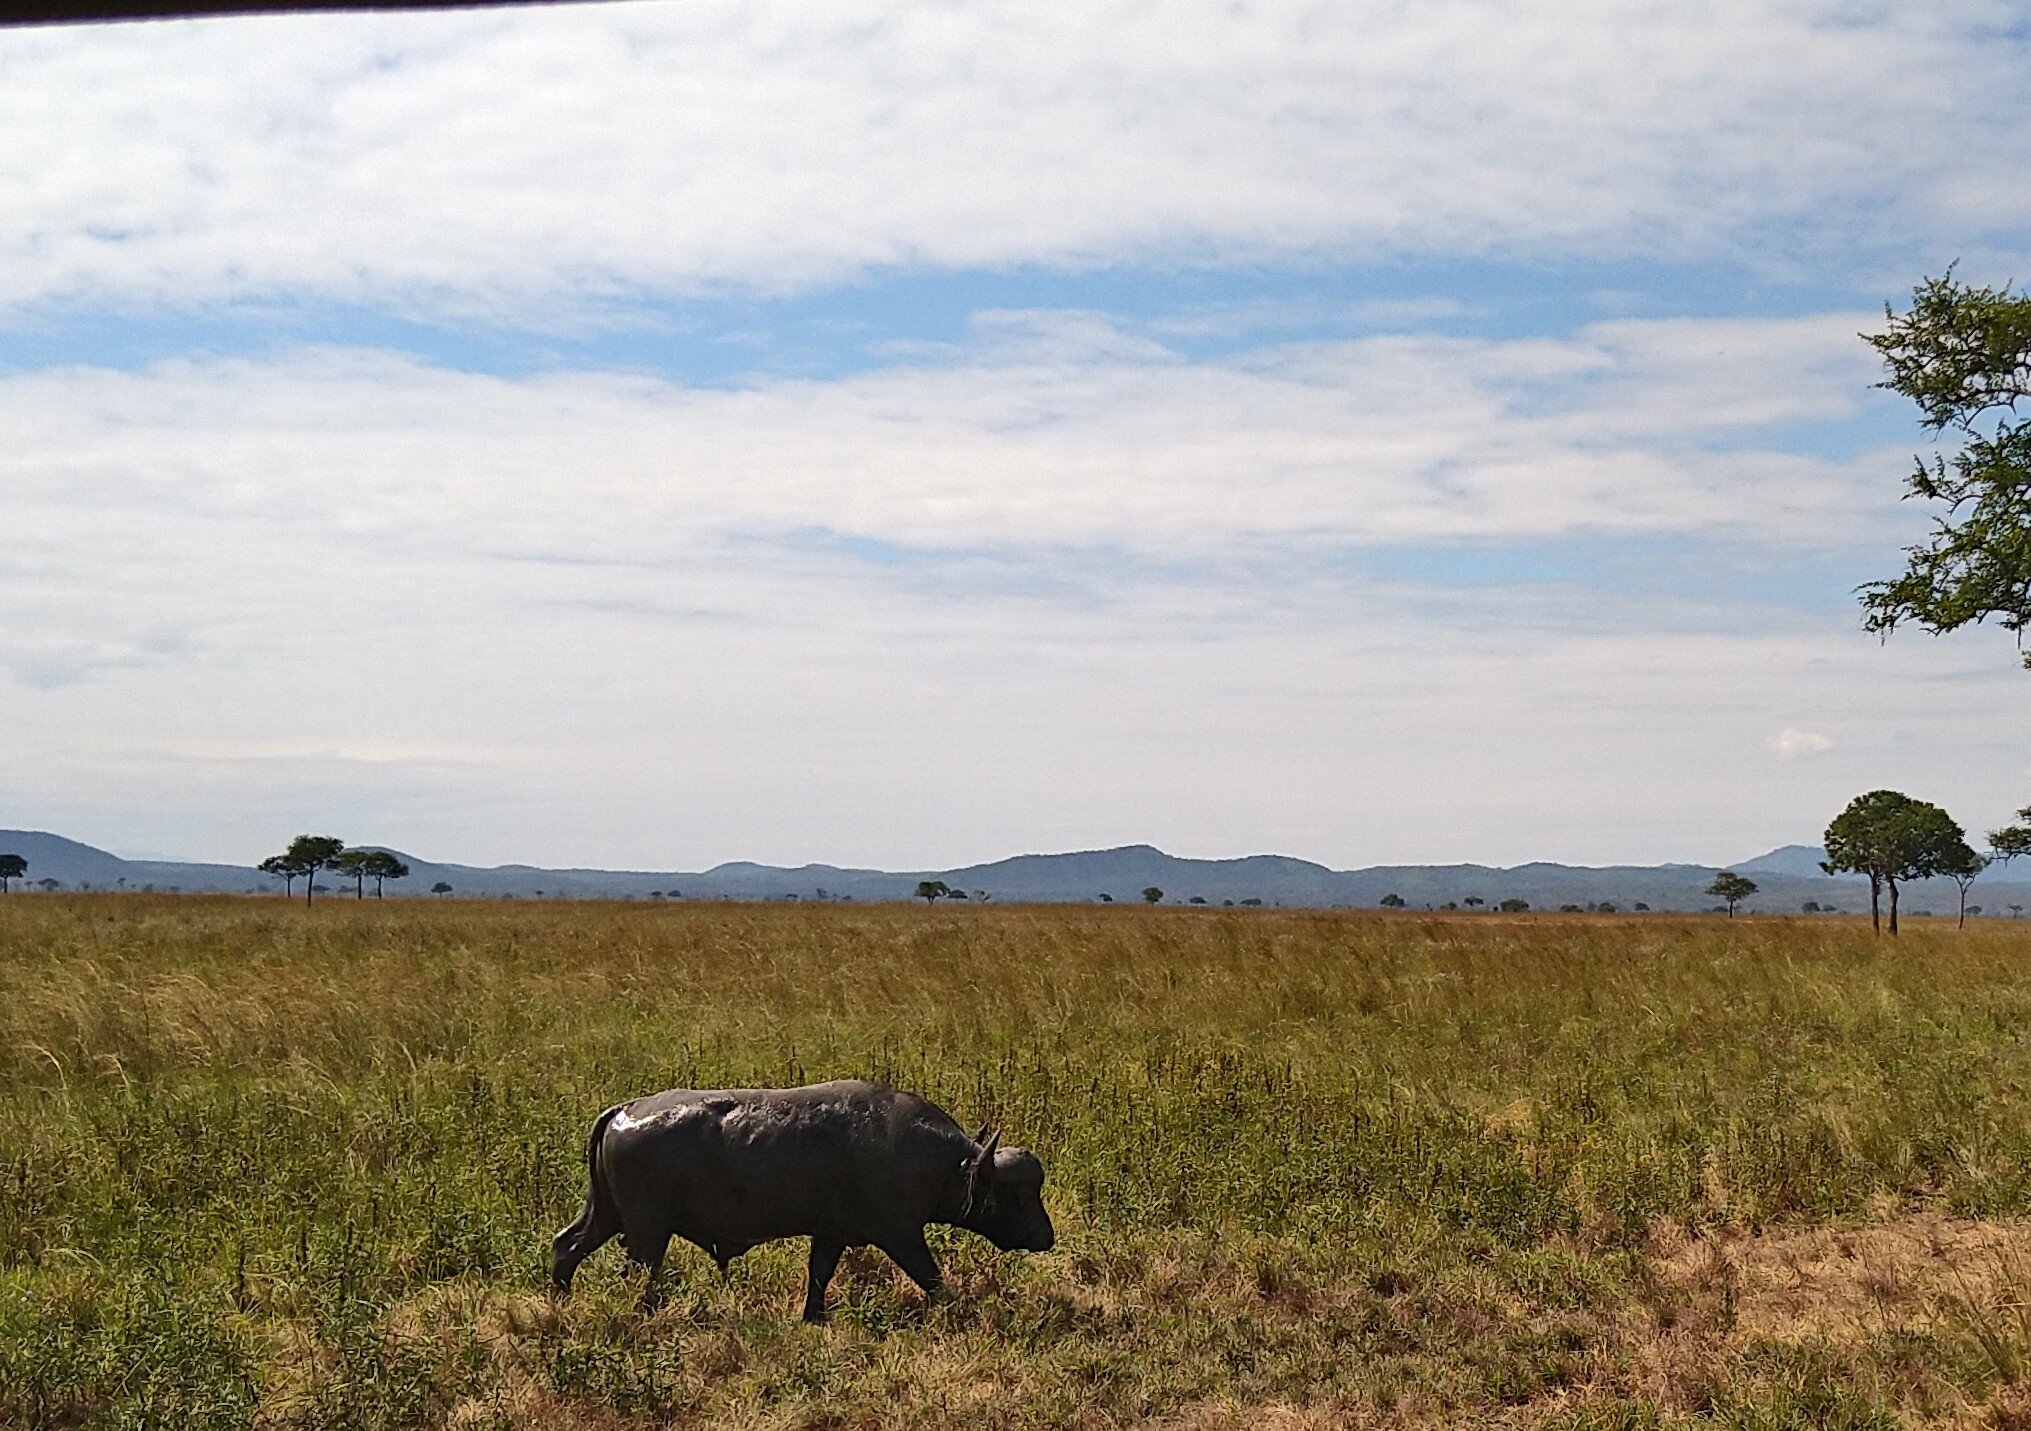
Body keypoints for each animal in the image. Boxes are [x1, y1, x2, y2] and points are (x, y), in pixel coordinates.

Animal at [551, 1078, 1053, 1321]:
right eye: (1013, 1192)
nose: (1047, 1237)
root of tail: (626, 1110)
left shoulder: (830, 1234)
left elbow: (819, 1276)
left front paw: (814, 1317)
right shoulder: (902, 1235)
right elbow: (932, 1278)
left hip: (608, 1217)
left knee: (566, 1246)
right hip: (647, 1231)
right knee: (638, 1273)